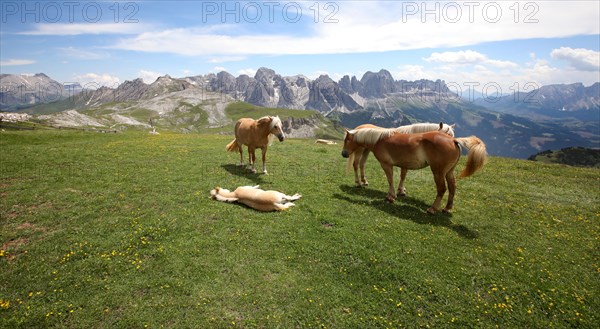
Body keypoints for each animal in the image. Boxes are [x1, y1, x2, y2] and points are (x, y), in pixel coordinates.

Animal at [340, 127, 486, 214]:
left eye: (347, 140)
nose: (344, 154)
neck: (379, 139)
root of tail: (454, 140)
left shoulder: (386, 164)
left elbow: (390, 179)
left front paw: (391, 197)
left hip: (438, 172)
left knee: (442, 189)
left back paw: (433, 208)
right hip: (449, 172)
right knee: (452, 187)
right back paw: (447, 208)